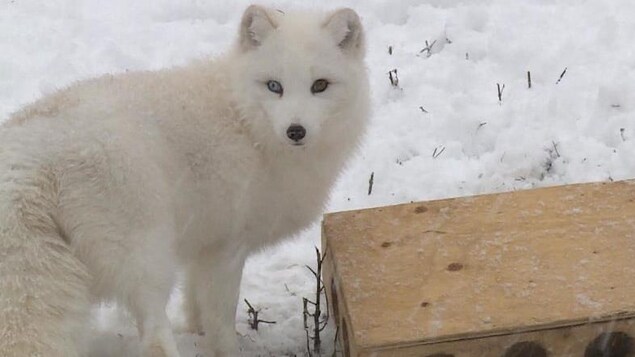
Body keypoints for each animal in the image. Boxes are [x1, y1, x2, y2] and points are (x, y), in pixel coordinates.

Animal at [0, 5, 368, 356]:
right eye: (274, 86)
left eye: (320, 85)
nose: (296, 131)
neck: (245, 120)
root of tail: (31, 162)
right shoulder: (227, 249)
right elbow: (221, 323)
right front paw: (225, 351)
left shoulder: (202, 245)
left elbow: (196, 309)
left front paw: (195, 335)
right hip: (148, 257)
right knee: (153, 338)